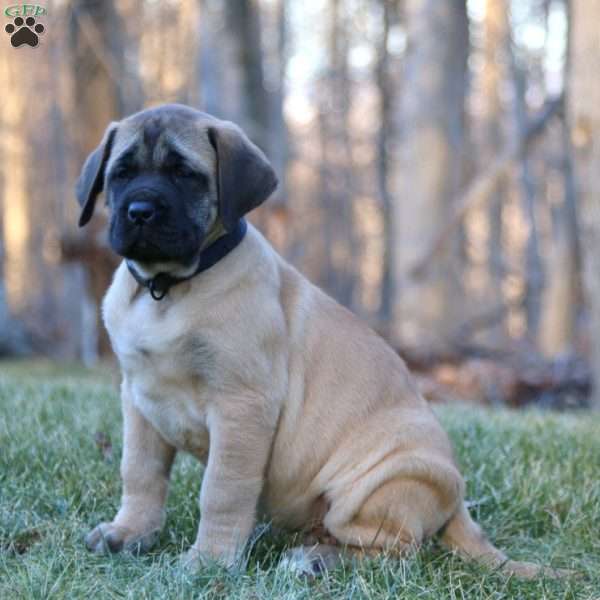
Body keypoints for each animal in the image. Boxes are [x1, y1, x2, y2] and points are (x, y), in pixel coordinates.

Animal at [77, 103, 560, 576]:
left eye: (183, 173)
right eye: (121, 173)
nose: (140, 211)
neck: (167, 289)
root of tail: (459, 503)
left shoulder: (242, 405)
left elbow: (221, 489)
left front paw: (209, 560)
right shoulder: (139, 398)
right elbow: (139, 473)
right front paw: (129, 533)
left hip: (378, 482)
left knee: (398, 550)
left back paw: (313, 560)